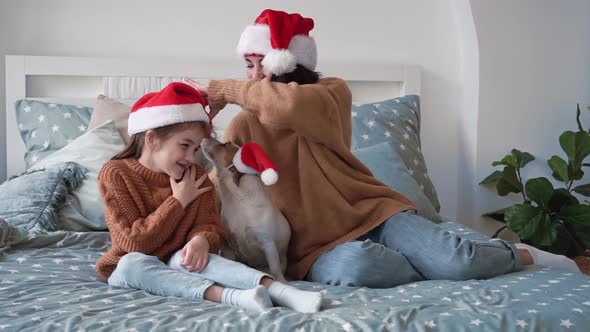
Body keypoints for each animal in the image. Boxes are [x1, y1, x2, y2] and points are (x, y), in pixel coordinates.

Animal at [201, 136, 292, 282]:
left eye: (225, 144)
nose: (204, 137)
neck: (238, 199)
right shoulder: (228, 244)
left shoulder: (268, 244)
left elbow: (275, 270)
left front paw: (281, 281)